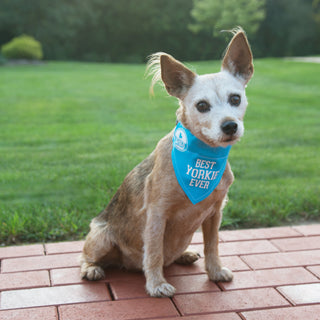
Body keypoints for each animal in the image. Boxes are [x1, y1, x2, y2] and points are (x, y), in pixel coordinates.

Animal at [81, 27, 254, 298]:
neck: (203, 157)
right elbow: (153, 253)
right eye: (201, 105)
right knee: (86, 256)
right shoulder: (157, 215)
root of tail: (125, 264)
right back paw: (91, 269)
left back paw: (184, 255)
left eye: (235, 99)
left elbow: (212, 245)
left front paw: (215, 272)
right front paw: (156, 285)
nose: (229, 126)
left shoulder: (215, 213)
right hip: (102, 238)